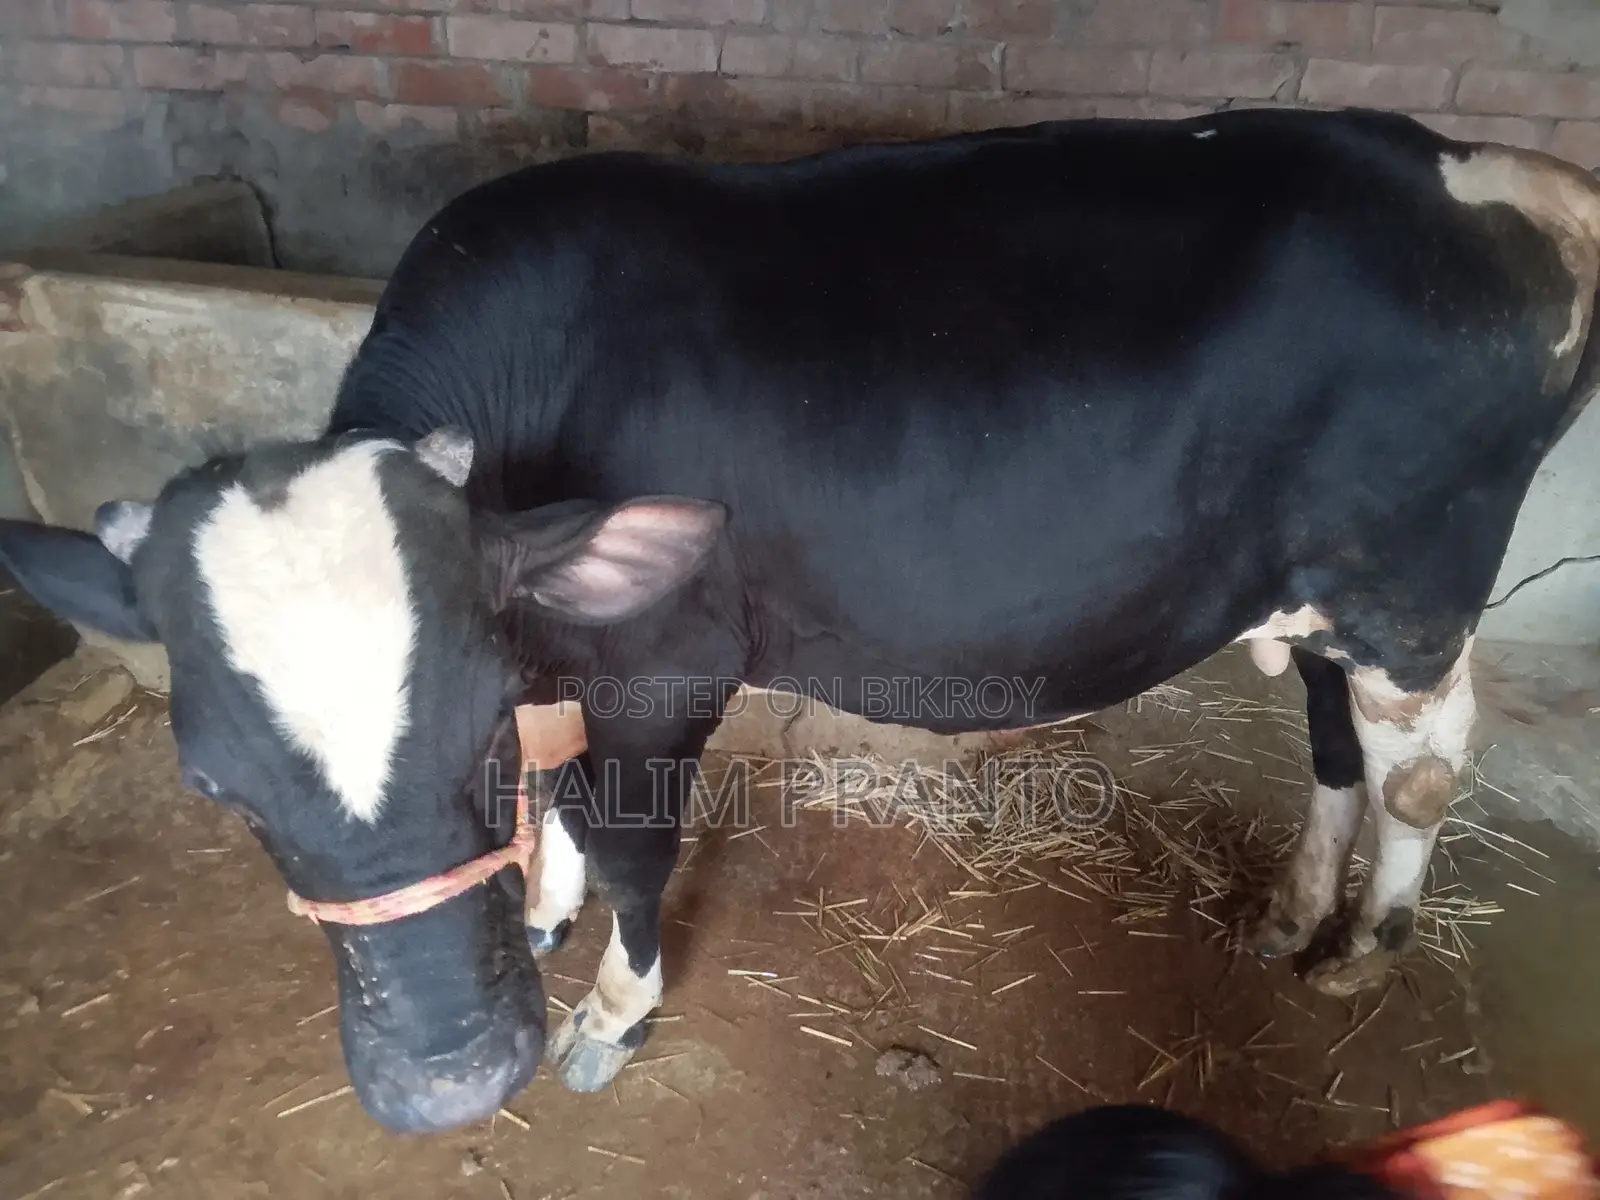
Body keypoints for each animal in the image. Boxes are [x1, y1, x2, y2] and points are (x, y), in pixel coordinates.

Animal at [1, 105, 1596, 1135]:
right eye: (212, 783)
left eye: (460, 741)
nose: (447, 1085)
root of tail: (1506, 172)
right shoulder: (564, 637)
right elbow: (565, 805)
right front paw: (547, 907)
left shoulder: (663, 665)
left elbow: (629, 835)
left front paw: (611, 1009)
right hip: (1319, 586)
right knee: (1330, 730)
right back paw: (1290, 911)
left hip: (1412, 588)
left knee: (1419, 760)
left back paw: (1369, 938)